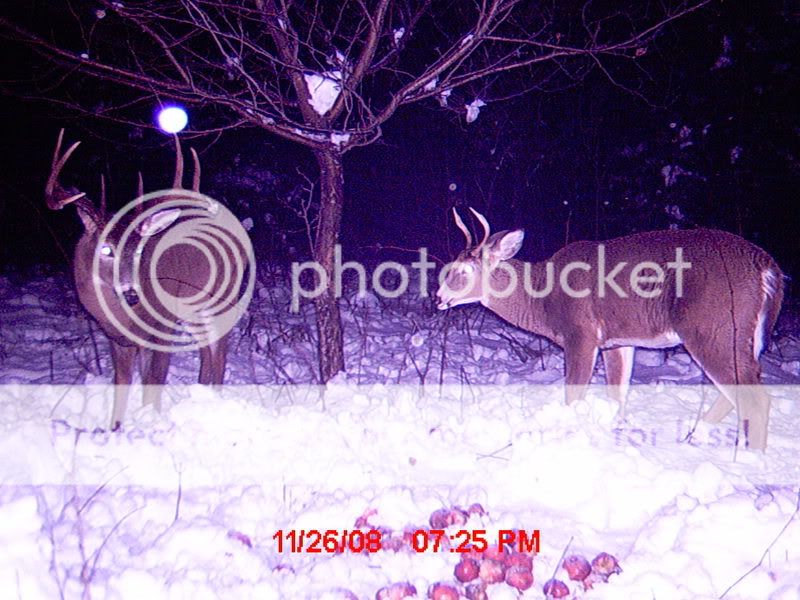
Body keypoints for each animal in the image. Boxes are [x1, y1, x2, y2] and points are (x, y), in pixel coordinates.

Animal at [45, 129, 238, 428]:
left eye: (138, 250)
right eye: (106, 248)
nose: (131, 293)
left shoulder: (162, 328)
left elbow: (152, 386)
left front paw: (149, 424)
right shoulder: (117, 339)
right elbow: (121, 385)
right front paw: (115, 429)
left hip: (220, 299)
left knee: (220, 347)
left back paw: (214, 397)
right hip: (192, 311)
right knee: (207, 348)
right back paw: (201, 391)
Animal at [434, 209, 784, 448]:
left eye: (461, 271)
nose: (438, 298)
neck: (542, 299)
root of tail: (767, 269)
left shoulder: (580, 333)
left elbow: (573, 394)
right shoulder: (618, 341)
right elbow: (618, 394)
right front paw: (614, 431)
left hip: (710, 326)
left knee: (755, 398)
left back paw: (751, 455)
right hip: (742, 334)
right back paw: (696, 434)